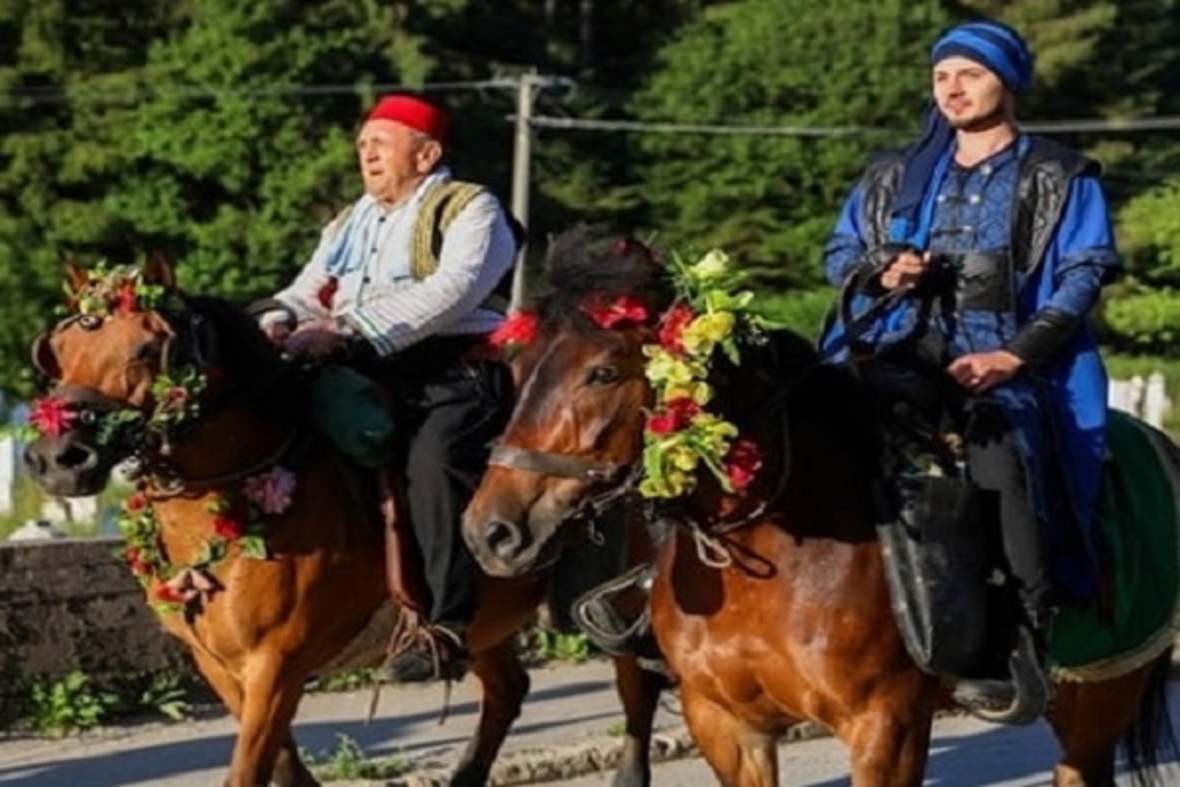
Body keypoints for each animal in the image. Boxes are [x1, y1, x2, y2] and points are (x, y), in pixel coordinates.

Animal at [23, 259, 665, 787]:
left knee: (637, 691)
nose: (58, 457)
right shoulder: (220, 666)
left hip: (616, 600)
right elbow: (284, 767)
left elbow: (251, 770)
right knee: (508, 690)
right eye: (57, 349)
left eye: (150, 348)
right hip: (487, 619)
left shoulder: (277, 664)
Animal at [462, 224, 1180, 783]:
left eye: (604, 371)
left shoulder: (885, 729)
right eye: (518, 369)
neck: (775, 554)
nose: (491, 531)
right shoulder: (727, 726)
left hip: (1103, 692)